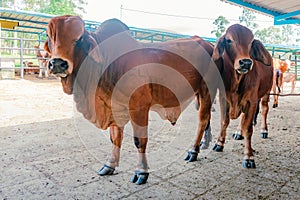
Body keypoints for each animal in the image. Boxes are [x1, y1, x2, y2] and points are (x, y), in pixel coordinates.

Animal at [44, 15, 220, 184]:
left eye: (80, 38)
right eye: (49, 35)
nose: (58, 63)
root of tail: (209, 45)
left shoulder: (139, 107)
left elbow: (139, 141)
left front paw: (141, 172)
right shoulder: (114, 107)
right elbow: (115, 138)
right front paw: (110, 165)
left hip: (208, 89)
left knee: (203, 119)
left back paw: (194, 151)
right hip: (199, 93)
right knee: (207, 117)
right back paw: (205, 142)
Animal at [211, 23, 274, 169]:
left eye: (251, 43)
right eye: (229, 40)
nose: (246, 62)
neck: (237, 81)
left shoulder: (251, 102)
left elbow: (248, 129)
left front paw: (249, 157)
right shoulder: (224, 98)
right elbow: (224, 121)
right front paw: (219, 143)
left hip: (266, 93)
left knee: (264, 110)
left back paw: (264, 130)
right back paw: (238, 132)